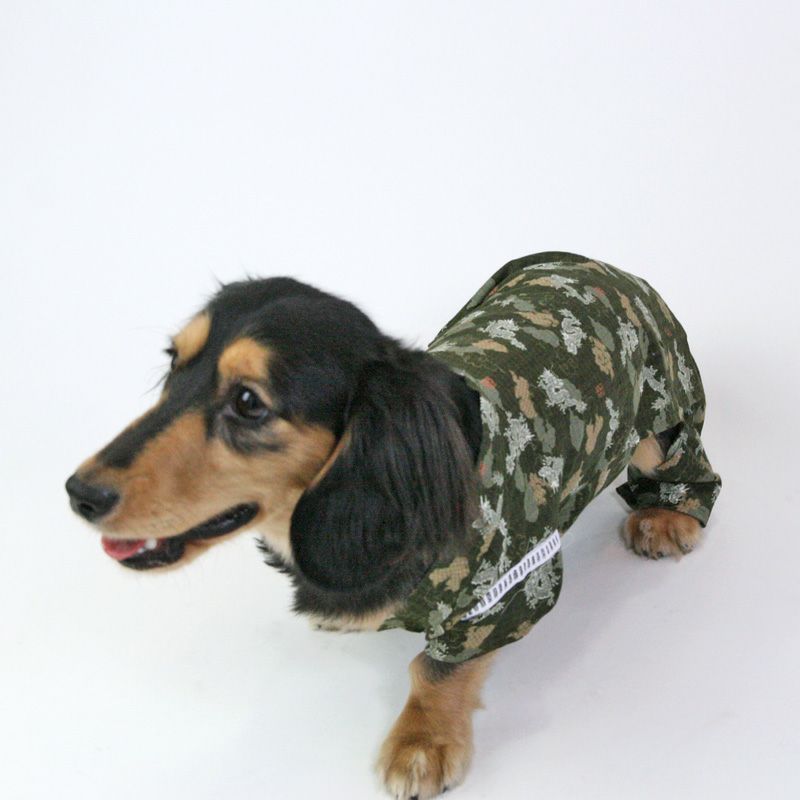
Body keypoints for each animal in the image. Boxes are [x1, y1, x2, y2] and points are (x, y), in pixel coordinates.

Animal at [66, 251, 721, 798]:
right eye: (174, 364)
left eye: (249, 402)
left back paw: (666, 517)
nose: (79, 493)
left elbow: (435, 668)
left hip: (659, 430)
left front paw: (422, 743)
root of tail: (608, 269)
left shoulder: (506, 589)